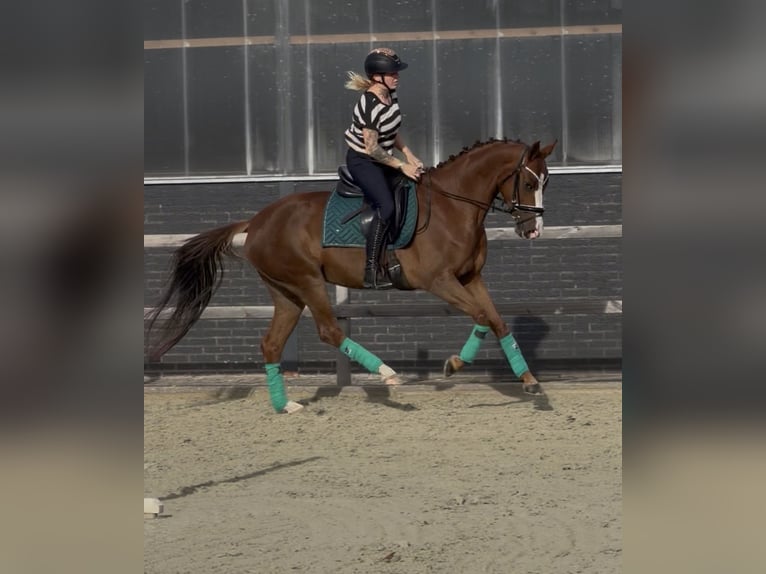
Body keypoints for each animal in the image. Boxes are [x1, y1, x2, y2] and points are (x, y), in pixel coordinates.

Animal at [145, 138, 557, 413]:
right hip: (308, 282)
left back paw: (285, 406)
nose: (533, 230)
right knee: (329, 330)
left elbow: (497, 321)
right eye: (528, 182)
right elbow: (483, 316)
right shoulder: (439, 281)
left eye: (545, 182)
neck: (452, 206)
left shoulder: (472, 278)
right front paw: (453, 365)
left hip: (286, 293)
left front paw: (529, 381)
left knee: (272, 344)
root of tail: (258, 221)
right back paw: (387, 374)